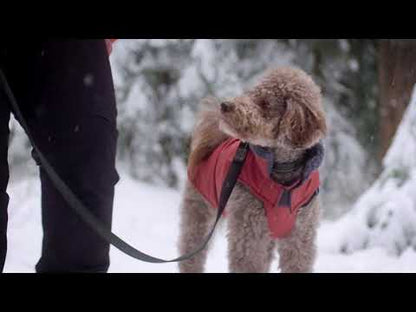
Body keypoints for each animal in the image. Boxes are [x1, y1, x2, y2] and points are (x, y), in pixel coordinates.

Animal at [177, 67, 326, 272]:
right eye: (250, 93)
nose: (225, 105)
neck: (282, 177)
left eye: (265, 103)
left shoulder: (300, 236)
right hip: (199, 213)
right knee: (191, 254)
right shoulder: (248, 233)